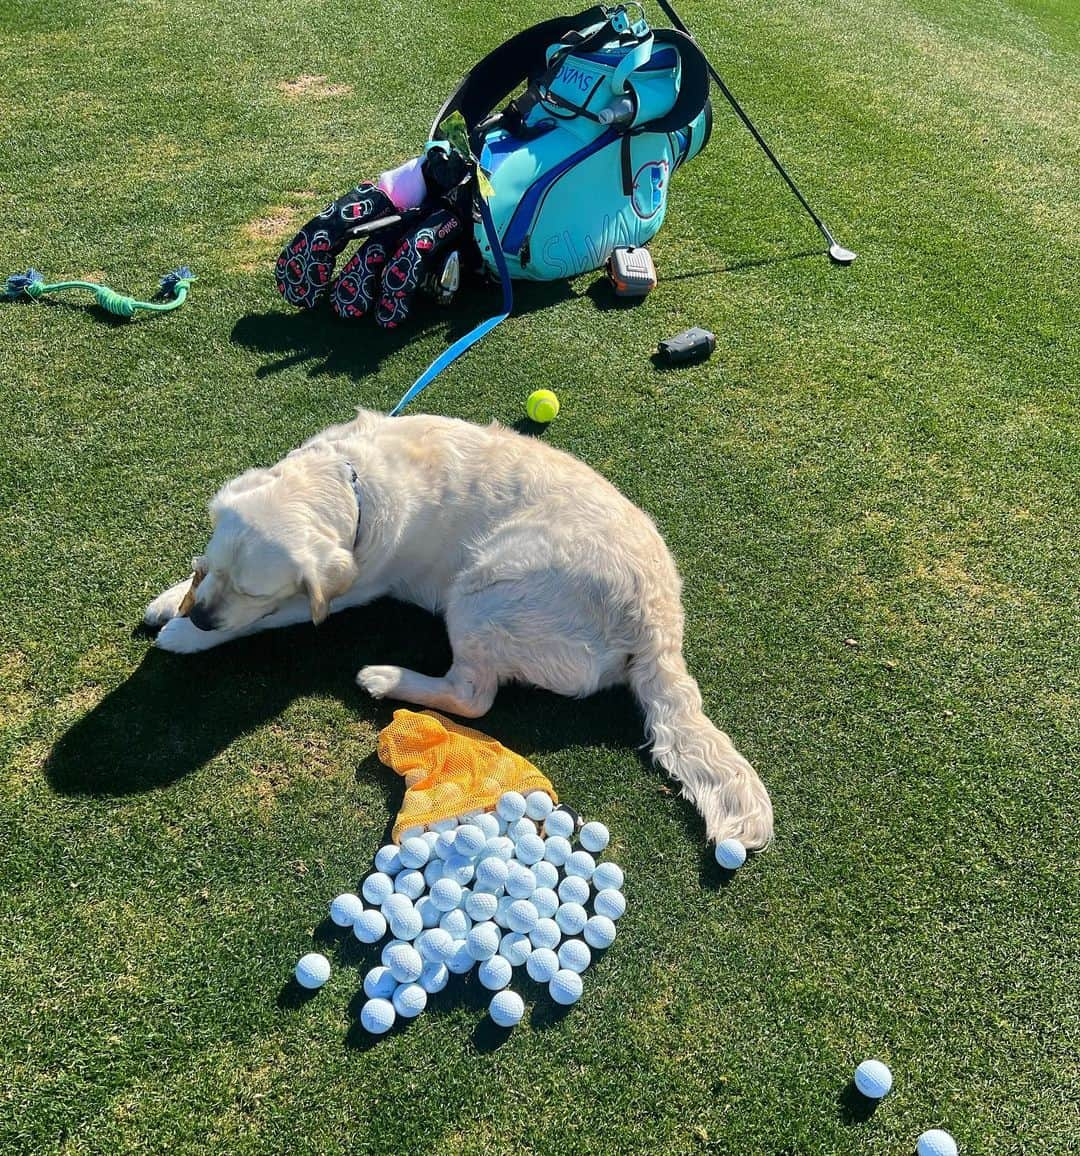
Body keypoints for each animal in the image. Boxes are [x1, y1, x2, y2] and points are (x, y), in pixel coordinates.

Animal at [145, 409, 777, 850]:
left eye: (255, 590)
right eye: (216, 568)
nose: (201, 616)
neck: (349, 483)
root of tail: (659, 632)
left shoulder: (347, 590)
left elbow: (270, 618)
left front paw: (187, 635)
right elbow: (194, 577)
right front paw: (173, 599)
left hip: (484, 587)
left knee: (474, 696)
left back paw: (386, 677)